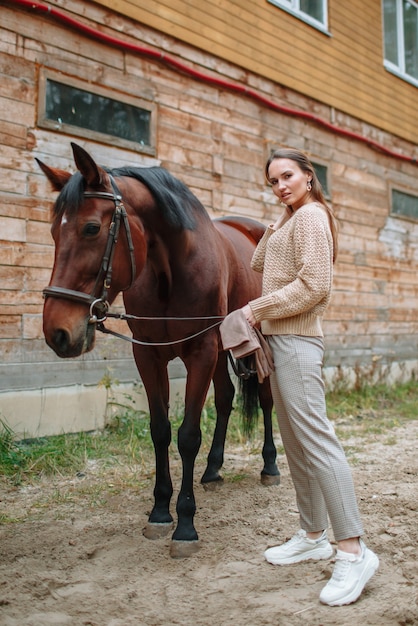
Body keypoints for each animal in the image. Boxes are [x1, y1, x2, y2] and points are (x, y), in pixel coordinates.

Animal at [37, 145, 280, 556]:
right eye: (54, 231)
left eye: (91, 228)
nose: (57, 332)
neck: (171, 270)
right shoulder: (150, 355)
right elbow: (161, 430)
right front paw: (160, 510)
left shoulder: (200, 352)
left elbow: (188, 436)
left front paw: (185, 524)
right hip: (222, 349)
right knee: (226, 398)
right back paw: (213, 470)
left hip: (255, 342)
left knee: (265, 400)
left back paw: (270, 466)